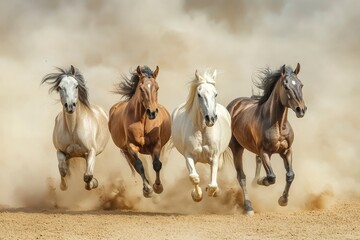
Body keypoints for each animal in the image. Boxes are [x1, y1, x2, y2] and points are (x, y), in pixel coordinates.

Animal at [108, 65, 172, 197]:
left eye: (157, 87)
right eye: (141, 89)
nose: (152, 112)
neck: (142, 120)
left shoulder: (156, 144)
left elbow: (157, 164)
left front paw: (158, 187)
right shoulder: (131, 146)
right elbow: (139, 166)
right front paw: (148, 189)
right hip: (126, 151)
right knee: (138, 165)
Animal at [171, 70, 231, 202]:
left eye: (215, 94)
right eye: (199, 94)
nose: (210, 118)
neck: (202, 130)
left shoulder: (214, 156)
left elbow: (213, 184)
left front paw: (212, 190)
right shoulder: (189, 155)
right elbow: (194, 177)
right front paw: (197, 195)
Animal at [228, 62, 306, 215]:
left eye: (301, 85)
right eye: (286, 86)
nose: (301, 109)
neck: (278, 125)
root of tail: (234, 105)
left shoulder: (287, 151)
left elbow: (290, 175)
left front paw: (283, 200)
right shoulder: (264, 151)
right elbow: (271, 177)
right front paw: (261, 181)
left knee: (256, 161)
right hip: (237, 148)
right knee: (241, 177)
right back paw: (248, 207)